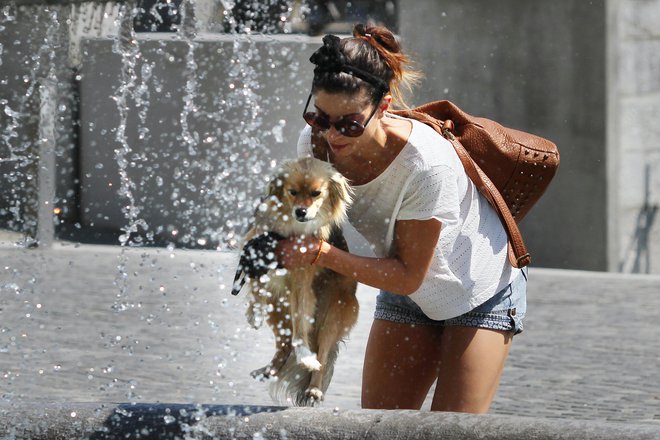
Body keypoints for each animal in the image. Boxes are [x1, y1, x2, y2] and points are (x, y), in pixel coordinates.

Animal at [231, 156, 358, 408]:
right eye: (292, 192)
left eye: (317, 193)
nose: (301, 211)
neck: (291, 227)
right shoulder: (254, 245)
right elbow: (257, 284)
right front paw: (254, 312)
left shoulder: (302, 277)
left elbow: (301, 325)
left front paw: (305, 357)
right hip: (278, 308)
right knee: (283, 343)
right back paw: (269, 370)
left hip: (333, 313)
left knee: (321, 351)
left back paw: (314, 388)